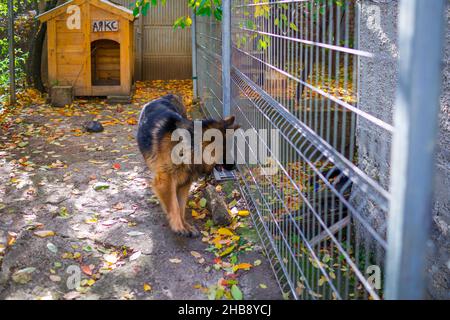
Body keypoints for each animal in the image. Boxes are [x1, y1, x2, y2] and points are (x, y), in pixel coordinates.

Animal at [136, 94, 239, 236]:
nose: (234, 167)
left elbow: (180, 206)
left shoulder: (185, 182)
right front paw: (178, 226)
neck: (188, 148)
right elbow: (173, 204)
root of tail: (165, 96)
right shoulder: (165, 181)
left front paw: (185, 225)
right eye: (225, 151)